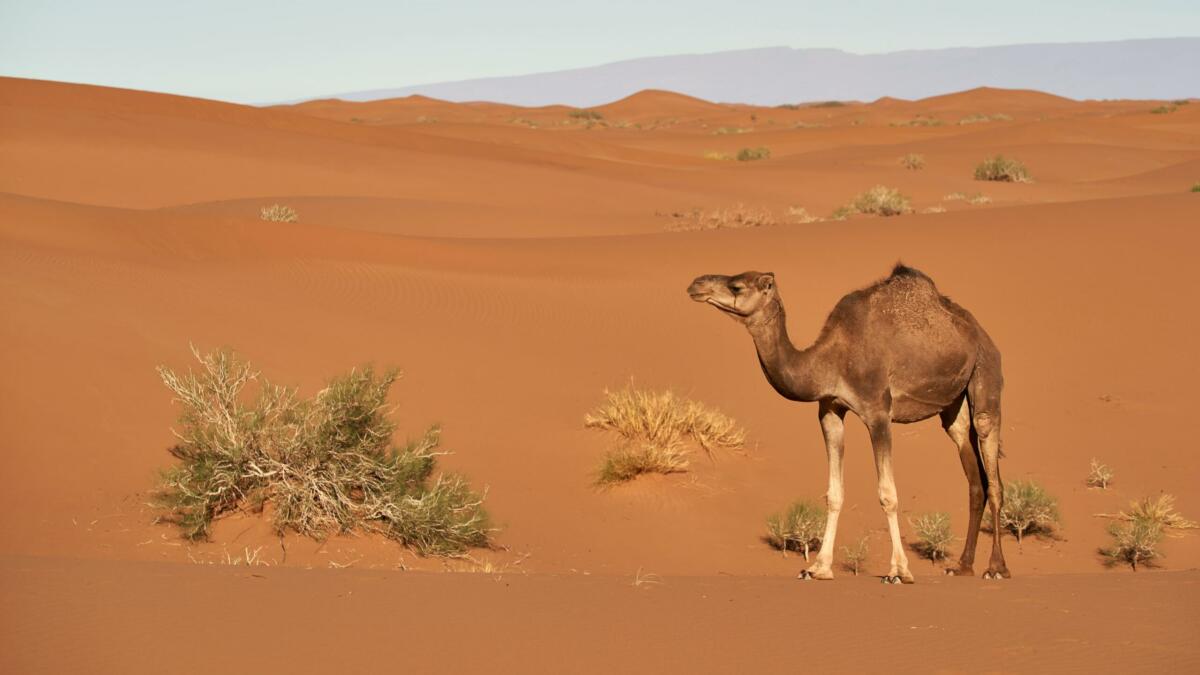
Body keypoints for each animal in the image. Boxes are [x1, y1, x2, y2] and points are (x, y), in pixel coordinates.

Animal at [687, 264, 1009, 584]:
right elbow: (834, 493)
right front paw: (818, 568)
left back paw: (996, 568)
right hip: (953, 406)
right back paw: (963, 566)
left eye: (737, 286)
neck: (830, 361)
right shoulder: (830, 410)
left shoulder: (878, 412)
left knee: (991, 466)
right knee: (973, 475)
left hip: (985, 371)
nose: (695, 284)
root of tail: (982, 334)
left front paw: (899, 571)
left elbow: (887, 494)